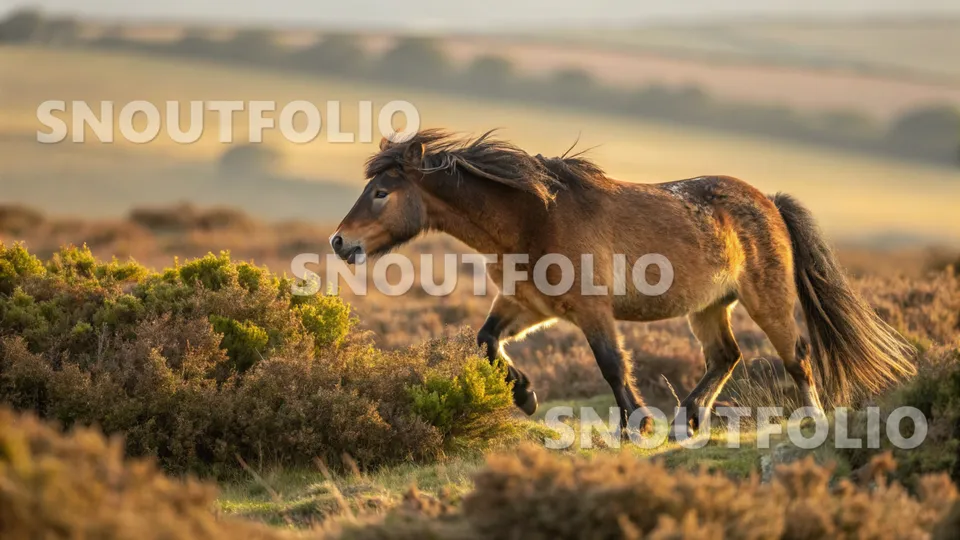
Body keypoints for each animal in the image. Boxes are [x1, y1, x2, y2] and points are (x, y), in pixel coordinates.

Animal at [330, 128, 916, 436]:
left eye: (381, 192)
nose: (340, 243)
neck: (532, 217)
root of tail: (768, 202)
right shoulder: (528, 305)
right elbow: (487, 341)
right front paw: (526, 396)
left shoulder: (592, 311)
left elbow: (611, 365)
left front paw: (636, 423)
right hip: (708, 307)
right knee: (726, 356)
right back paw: (688, 420)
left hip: (765, 300)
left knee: (796, 356)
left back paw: (811, 421)